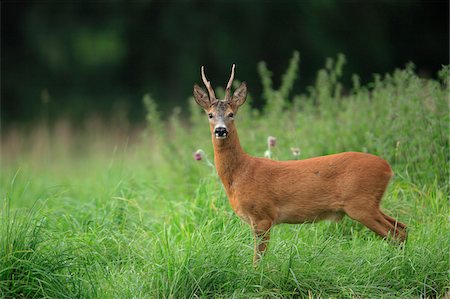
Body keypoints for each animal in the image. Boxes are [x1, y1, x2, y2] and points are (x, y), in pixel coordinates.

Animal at [193, 63, 408, 264]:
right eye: (210, 115)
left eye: (231, 114)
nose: (221, 130)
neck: (240, 173)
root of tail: (388, 169)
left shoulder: (263, 216)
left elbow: (258, 260)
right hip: (371, 204)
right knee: (402, 227)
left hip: (361, 203)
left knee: (395, 233)